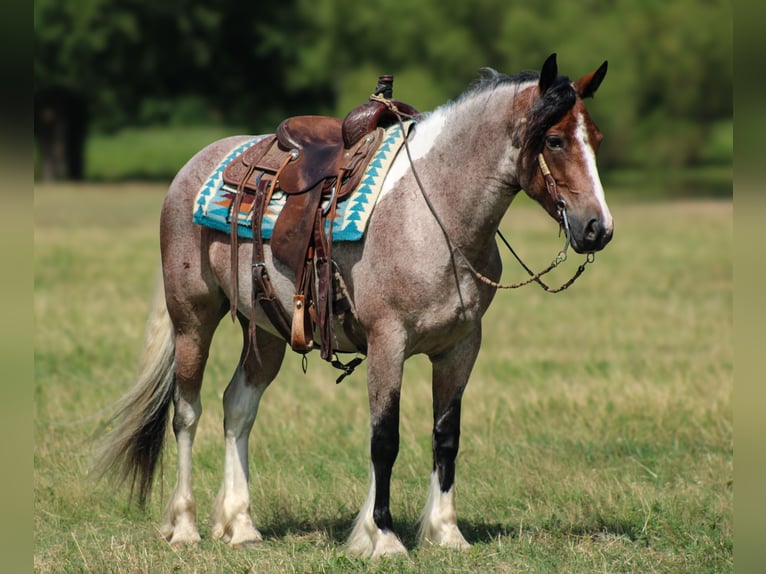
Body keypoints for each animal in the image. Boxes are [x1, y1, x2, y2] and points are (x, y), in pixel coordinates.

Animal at [94, 53, 613, 558]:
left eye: (596, 139)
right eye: (554, 140)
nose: (597, 229)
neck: (432, 214)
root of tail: (194, 166)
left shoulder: (461, 347)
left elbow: (446, 437)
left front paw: (446, 533)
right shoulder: (388, 342)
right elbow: (384, 440)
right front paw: (382, 537)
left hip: (266, 330)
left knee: (237, 407)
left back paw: (240, 525)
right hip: (193, 317)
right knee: (187, 412)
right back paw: (185, 527)